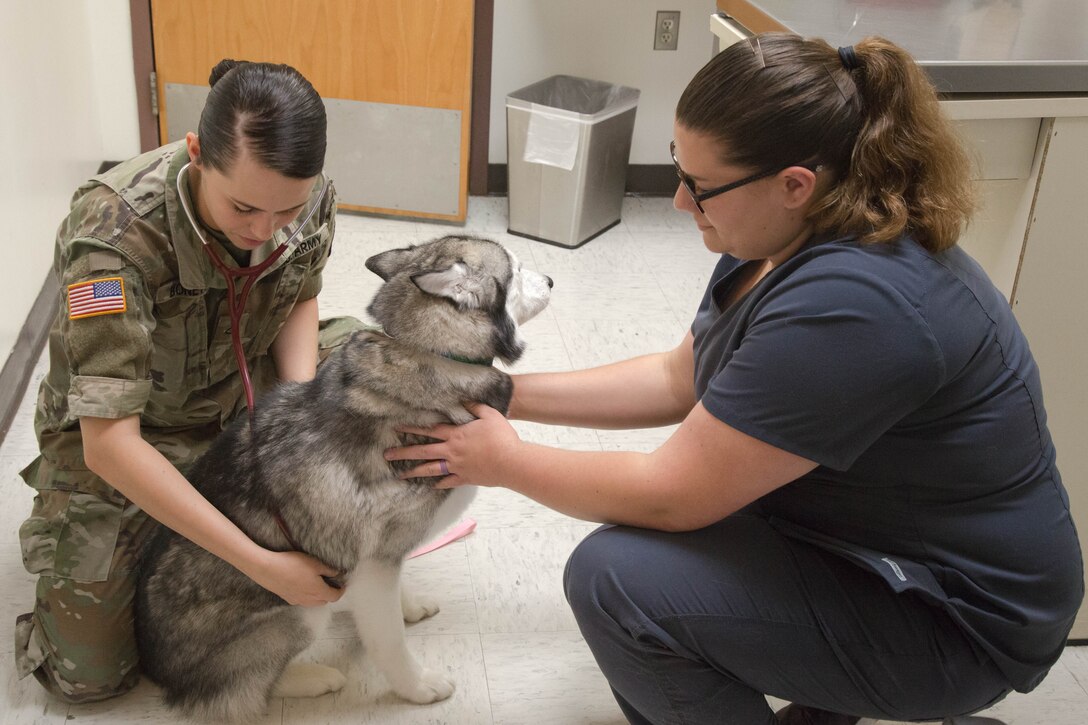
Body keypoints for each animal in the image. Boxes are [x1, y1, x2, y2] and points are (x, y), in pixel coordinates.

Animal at [136, 232, 552, 718]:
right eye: (517, 268)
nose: (551, 280)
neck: (428, 353)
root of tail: (156, 670)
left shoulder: (380, 561)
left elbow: (390, 601)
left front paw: (408, 605)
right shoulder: (374, 560)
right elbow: (390, 642)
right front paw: (417, 687)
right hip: (299, 611)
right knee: (240, 690)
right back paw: (313, 678)